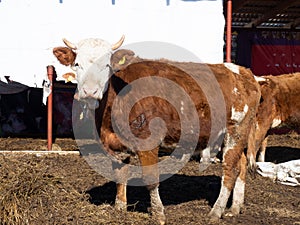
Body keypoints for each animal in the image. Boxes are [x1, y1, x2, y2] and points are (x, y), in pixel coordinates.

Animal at [52, 36, 262, 224]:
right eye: (77, 64)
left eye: (106, 65)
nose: (89, 91)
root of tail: (243, 72)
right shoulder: (117, 142)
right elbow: (120, 173)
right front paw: (120, 208)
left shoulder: (147, 140)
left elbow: (151, 179)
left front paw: (159, 214)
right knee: (242, 164)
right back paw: (234, 208)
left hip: (236, 129)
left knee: (230, 168)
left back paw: (216, 212)